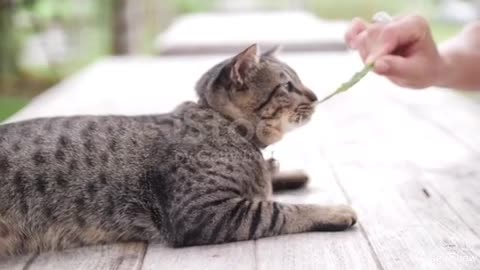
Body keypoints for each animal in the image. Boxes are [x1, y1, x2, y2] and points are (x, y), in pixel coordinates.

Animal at [0, 44, 354, 258]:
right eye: (287, 86)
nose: (315, 96)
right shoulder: (203, 213)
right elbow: (279, 209)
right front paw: (335, 211)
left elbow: (267, 183)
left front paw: (285, 173)